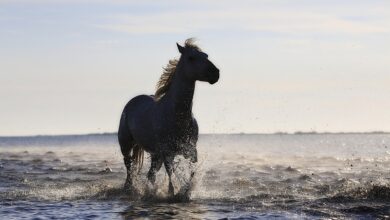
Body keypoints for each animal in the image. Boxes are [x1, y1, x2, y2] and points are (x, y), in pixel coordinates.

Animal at [117, 38, 219, 196]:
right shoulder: (167, 152)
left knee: (150, 174)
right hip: (126, 145)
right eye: (191, 58)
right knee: (130, 169)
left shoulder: (191, 151)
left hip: (155, 154)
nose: (215, 73)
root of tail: (132, 102)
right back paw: (129, 188)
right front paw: (172, 192)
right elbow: (171, 173)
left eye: (206, 55)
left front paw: (186, 191)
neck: (177, 115)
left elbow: (191, 172)